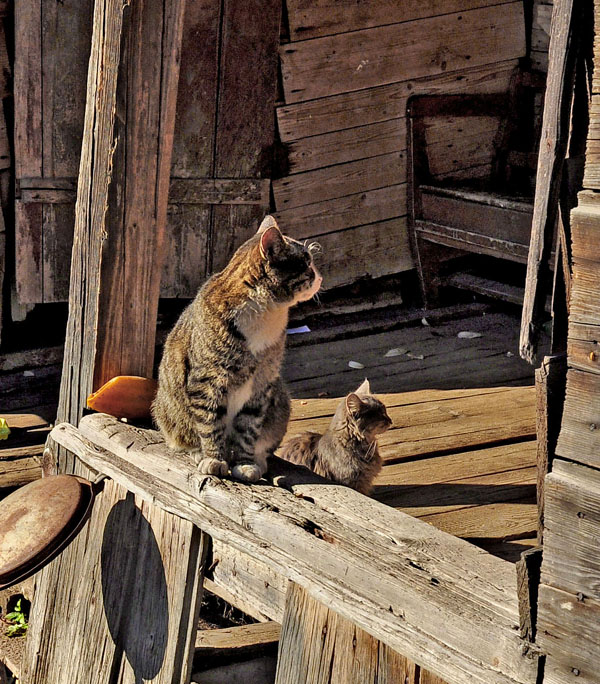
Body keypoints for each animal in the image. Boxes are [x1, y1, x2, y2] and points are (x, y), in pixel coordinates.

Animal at [155, 216, 324, 484]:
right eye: (306, 262)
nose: (320, 277)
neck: (265, 314)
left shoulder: (261, 384)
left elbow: (248, 428)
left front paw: (245, 464)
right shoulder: (207, 381)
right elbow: (210, 423)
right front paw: (214, 459)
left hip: (280, 403)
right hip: (168, 411)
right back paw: (198, 453)